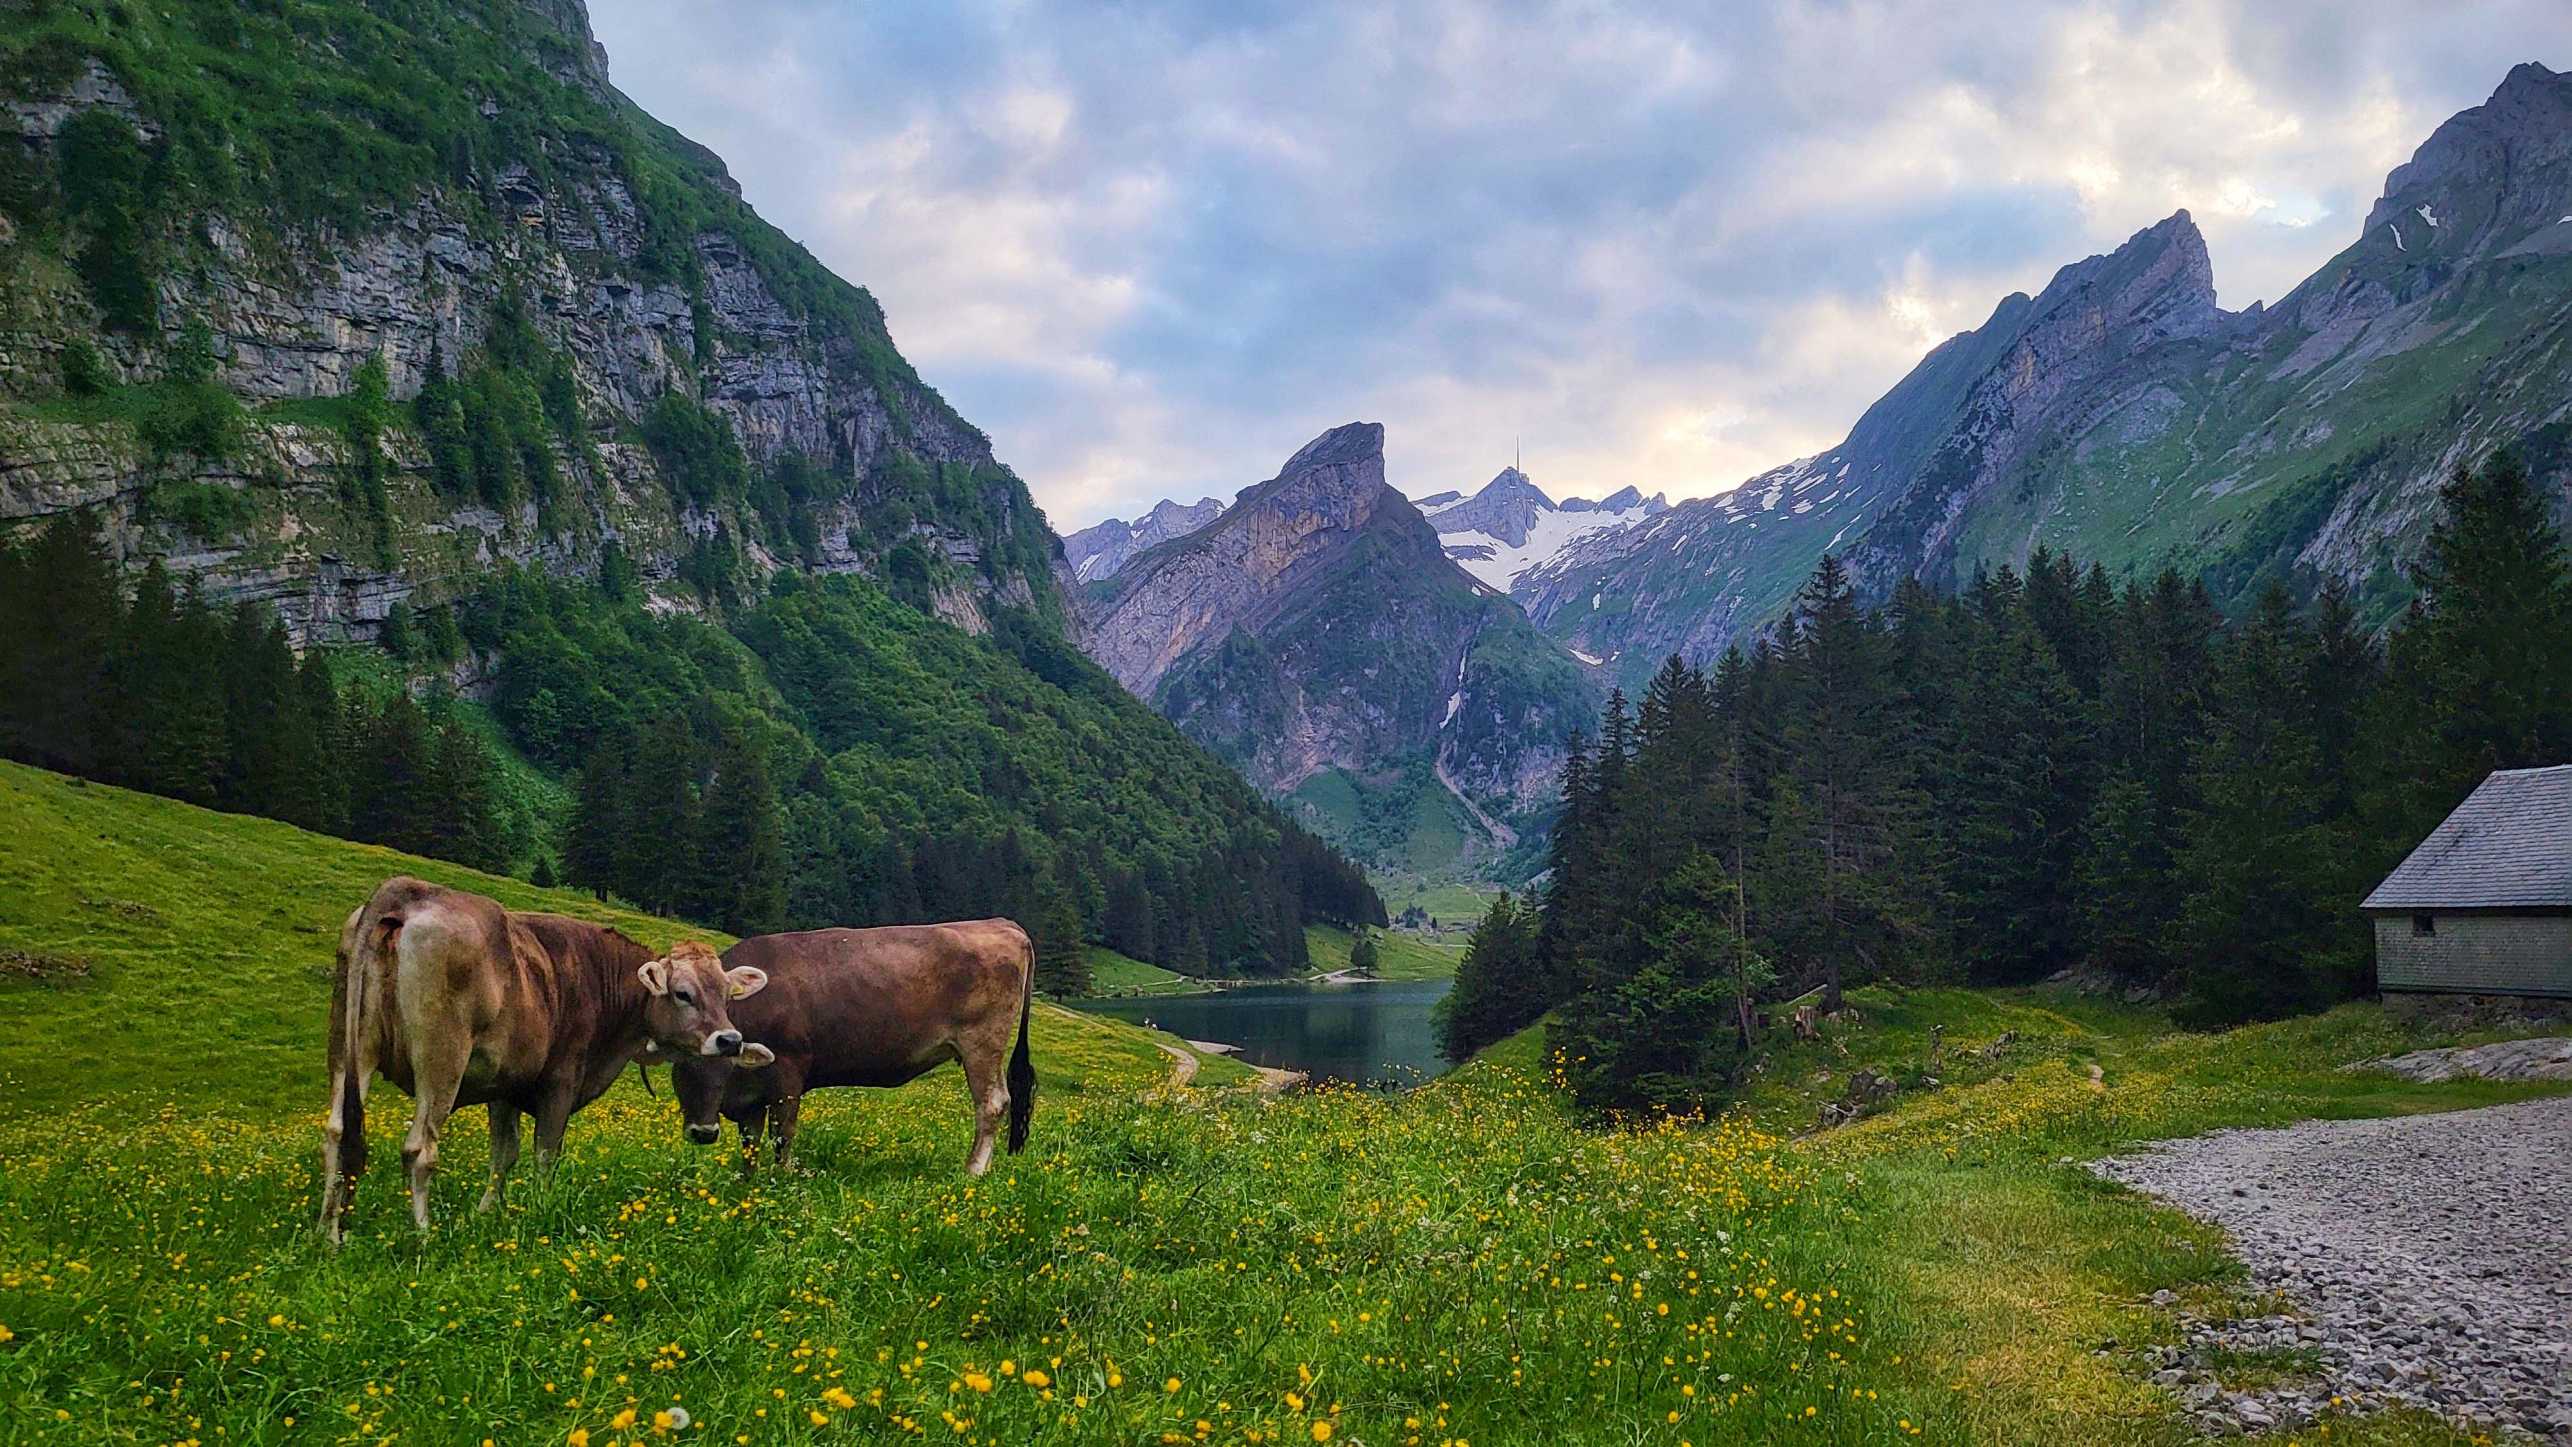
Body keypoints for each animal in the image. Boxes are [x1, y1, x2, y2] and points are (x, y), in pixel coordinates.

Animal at [318, 878, 771, 1238]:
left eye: (725, 994)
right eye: (683, 993)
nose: (729, 1039)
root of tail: (411, 892)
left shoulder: (503, 1085)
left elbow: (504, 1155)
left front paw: (488, 1214)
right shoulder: (560, 1082)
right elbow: (545, 1154)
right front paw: (539, 1212)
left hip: (349, 1045)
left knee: (338, 1133)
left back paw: (329, 1233)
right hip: (441, 1058)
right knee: (419, 1149)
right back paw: (423, 1237)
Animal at [668, 930, 1039, 1177]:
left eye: (725, 1061)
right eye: (681, 1065)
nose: (702, 1133)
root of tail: (1004, 926)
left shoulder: (788, 1074)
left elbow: (782, 1135)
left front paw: (781, 1180)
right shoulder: (752, 1095)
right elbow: (750, 1143)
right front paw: (748, 1185)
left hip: (982, 1043)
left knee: (992, 1103)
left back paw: (974, 1170)